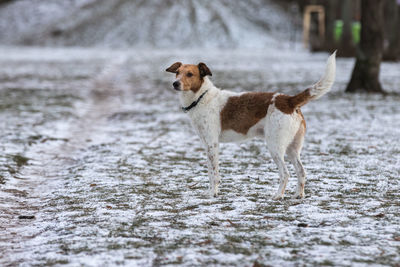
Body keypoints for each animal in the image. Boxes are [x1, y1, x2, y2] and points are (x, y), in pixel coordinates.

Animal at [165, 52, 334, 200]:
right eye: (177, 73)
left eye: (190, 74)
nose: (175, 83)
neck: (201, 97)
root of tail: (288, 100)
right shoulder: (207, 144)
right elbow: (210, 172)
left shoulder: (212, 144)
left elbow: (214, 173)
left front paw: (212, 194)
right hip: (293, 148)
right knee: (301, 171)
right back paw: (298, 195)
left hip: (275, 146)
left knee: (285, 174)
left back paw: (278, 196)